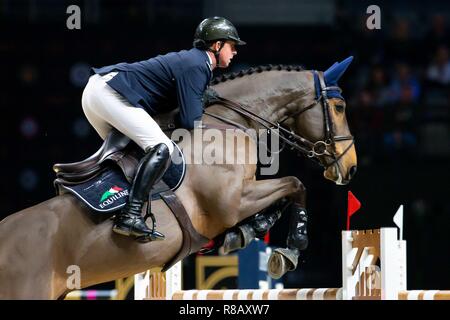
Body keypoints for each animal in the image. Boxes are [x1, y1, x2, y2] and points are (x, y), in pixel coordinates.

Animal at [0, 57, 358, 298]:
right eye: (339, 107)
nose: (351, 167)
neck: (227, 123)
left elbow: (284, 194)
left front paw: (245, 232)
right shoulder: (232, 202)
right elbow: (296, 185)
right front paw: (293, 247)